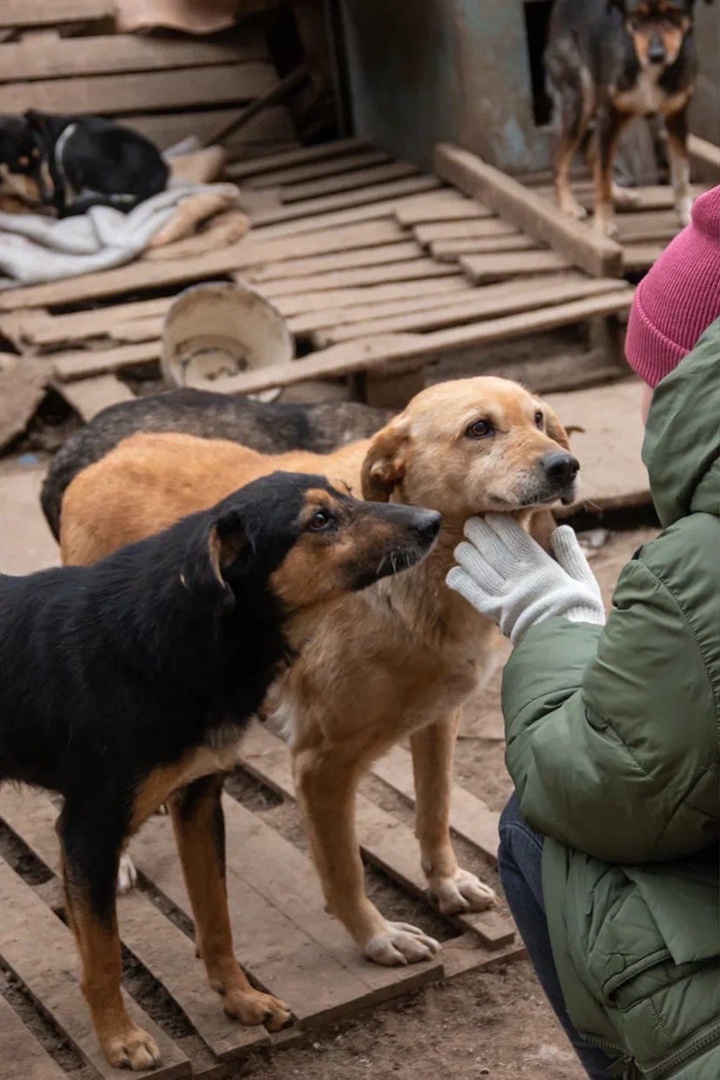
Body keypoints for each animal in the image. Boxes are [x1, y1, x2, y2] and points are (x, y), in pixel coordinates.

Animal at [0, 473, 440, 1071]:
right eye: (319, 521)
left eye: (349, 491)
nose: (433, 521)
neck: (186, 636)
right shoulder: (88, 829)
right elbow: (103, 954)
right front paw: (119, 1039)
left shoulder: (200, 800)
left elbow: (216, 918)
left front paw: (241, 999)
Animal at [62, 375, 578, 967]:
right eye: (479, 429)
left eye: (538, 419)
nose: (566, 466)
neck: (425, 572)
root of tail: (98, 464)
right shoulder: (320, 764)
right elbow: (344, 869)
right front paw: (377, 937)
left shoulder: (438, 721)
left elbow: (433, 812)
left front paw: (445, 885)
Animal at [544, 0, 708, 235]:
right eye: (636, 18)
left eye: (673, 15)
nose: (656, 55)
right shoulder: (609, 115)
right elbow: (603, 177)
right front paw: (603, 222)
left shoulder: (677, 118)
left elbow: (681, 172)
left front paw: (687, 214)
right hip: (582, 98)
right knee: (560, 158)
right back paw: (568, 204)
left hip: (624, 114)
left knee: (593, 152)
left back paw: (619, 193)